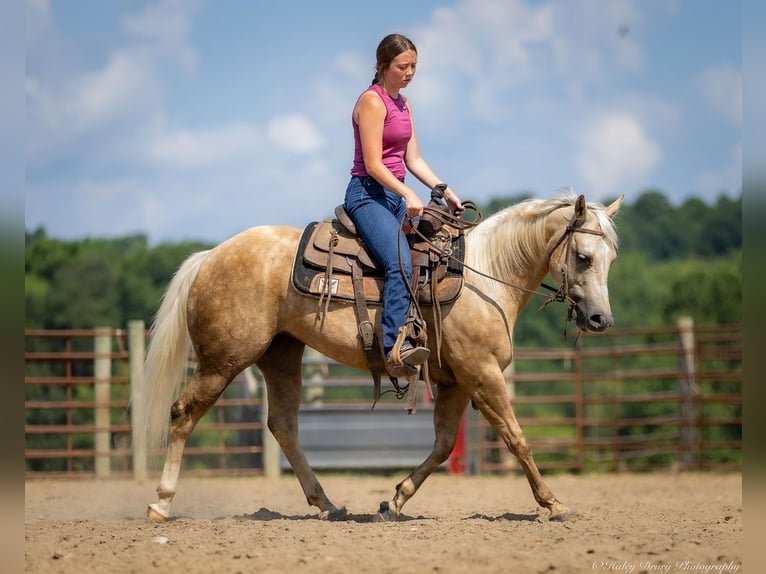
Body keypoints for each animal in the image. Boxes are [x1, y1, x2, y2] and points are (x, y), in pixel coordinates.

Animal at [136, 191, 623, 523]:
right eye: (583, 257)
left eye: (612, 258)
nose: (601, 319)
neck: (487, 275)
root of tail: (209, 257)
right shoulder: (482, 374)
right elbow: (516, 437)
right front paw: (553, 502)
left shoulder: (455, 381)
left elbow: (444, 445)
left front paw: (395, 499)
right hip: (223, 361)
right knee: (183, 414)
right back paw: (161, 503)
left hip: (280, 355)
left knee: (284, 426)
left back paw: (328, 503)